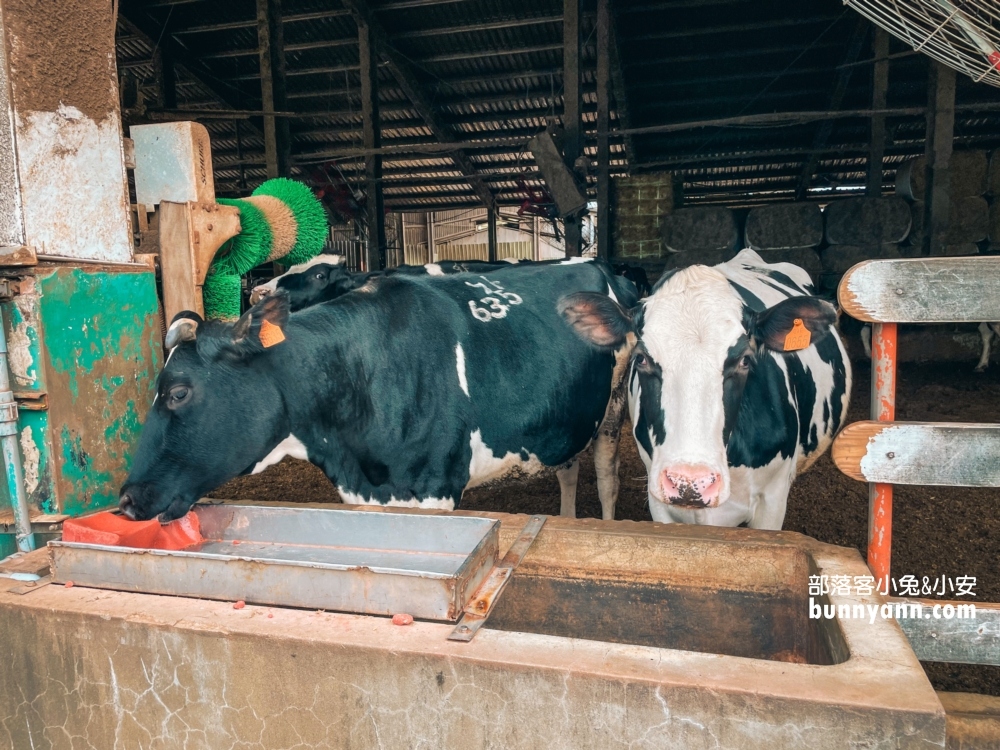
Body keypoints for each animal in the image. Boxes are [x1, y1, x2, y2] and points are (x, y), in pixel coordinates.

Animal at [117, 262, 632, 524]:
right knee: (566, 466)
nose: (125, 499)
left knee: (606, 475)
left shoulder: (435, 489)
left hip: (612, 412)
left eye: (178, 393)